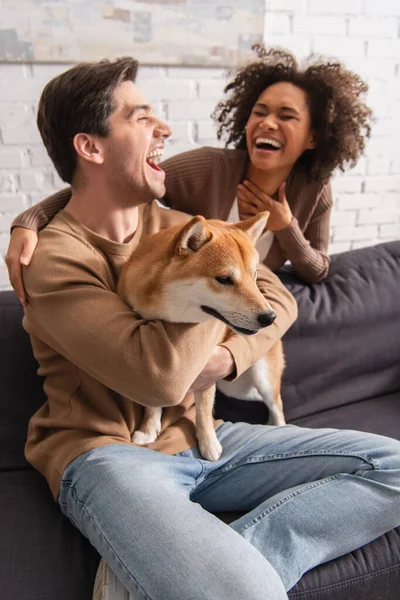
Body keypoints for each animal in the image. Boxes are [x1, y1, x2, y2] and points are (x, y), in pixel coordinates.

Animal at [117, 211, 286, 460]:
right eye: (224, 279)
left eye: (255, 275)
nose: (270, 317)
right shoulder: (150, 372)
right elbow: (152, 402)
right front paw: (148, 430)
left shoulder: (209, 370)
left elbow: (204, 412)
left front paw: (208, 444)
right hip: (237, 388)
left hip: (260, 378)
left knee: (277, 405)